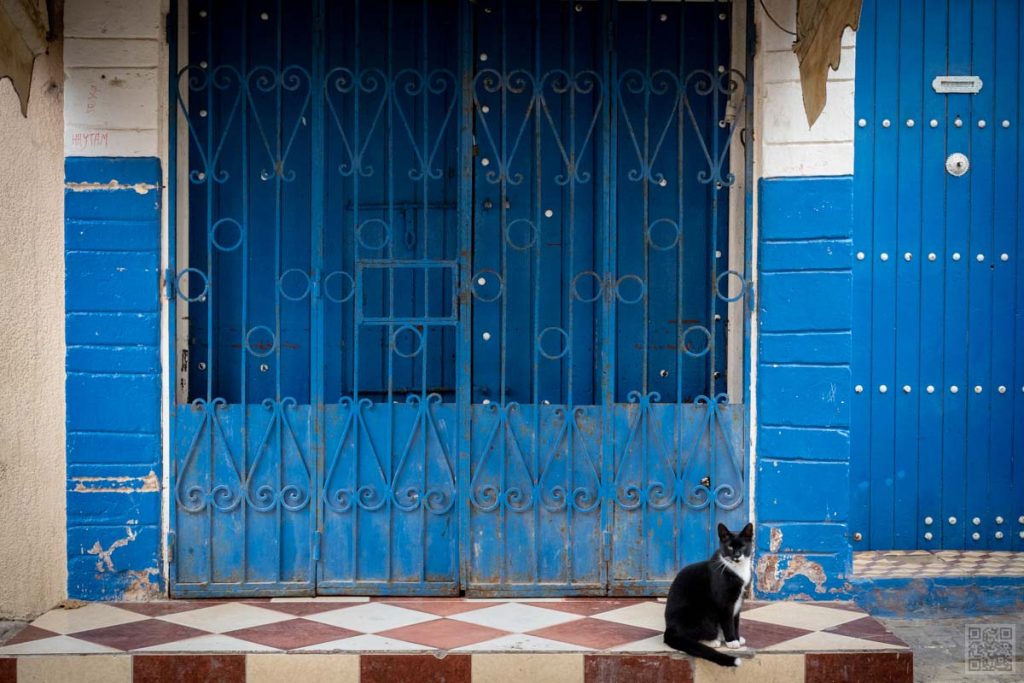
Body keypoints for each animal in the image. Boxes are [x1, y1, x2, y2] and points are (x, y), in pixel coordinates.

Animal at [663, 524, 753, 667]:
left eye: (743, 546)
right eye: (730, 547)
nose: (737, 556)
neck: (737, 570)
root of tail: (669, 629)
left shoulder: (739, 601)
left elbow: (736, 621)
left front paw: (737, 638)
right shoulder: (725, 603)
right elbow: (728, 622)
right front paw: (732, 641)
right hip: (700, 614)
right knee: (692, 637)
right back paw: (713, 640)